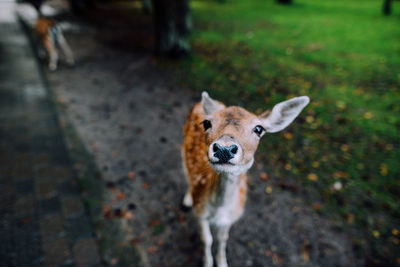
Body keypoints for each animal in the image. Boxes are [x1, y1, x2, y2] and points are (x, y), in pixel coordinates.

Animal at [181, 91, 310, 266]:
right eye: (206, 123)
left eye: (259, 129)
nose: (224, 148)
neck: (218, 211)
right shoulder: (200, 212)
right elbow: (207, 239)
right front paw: (208, 263)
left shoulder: (232, 216)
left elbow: (222, 238)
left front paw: (222, 262)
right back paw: (187, 200)